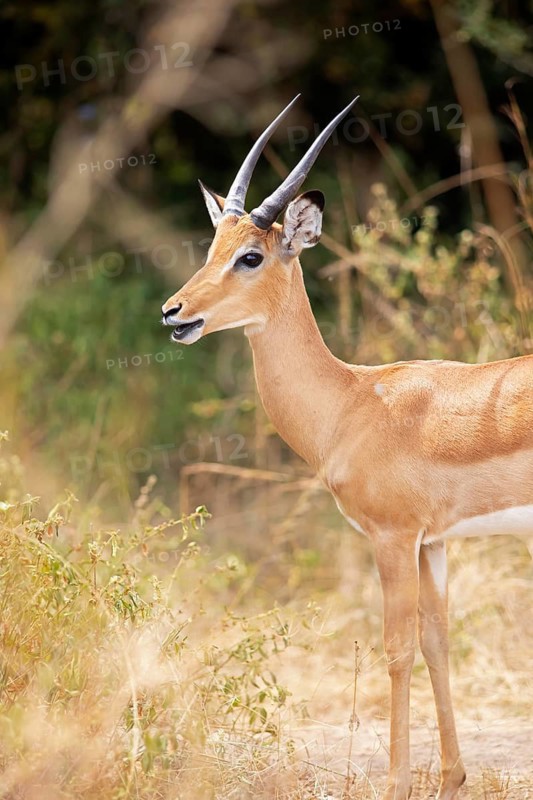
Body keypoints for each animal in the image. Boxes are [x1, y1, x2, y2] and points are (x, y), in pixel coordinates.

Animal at [161, 95, 533, 799]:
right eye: (212, 244)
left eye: (250, 256)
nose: (174, 313)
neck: (354, 403)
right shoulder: (433, 543)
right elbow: (438, 642)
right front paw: (451, 777)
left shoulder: (392, 537)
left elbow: (397, 649)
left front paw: (395, 783)